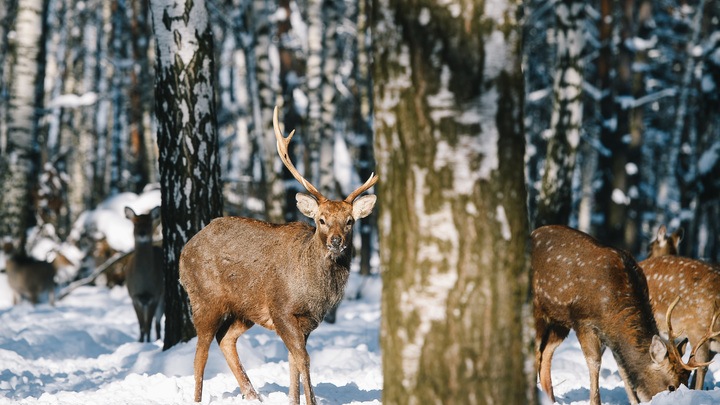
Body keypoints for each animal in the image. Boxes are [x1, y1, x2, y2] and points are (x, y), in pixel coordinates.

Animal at [124, 205, 164, 340]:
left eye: (149, 222)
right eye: (135, 223)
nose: (142, 233)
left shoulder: (155, 295)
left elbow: (148, 325)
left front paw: (147, 342)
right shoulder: (134, 296)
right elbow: (142, 326)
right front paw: (141, 342)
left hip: (163, 300)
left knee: (157, 323)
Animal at [179, 105, 376, 404]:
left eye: (350, 221)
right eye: (321, 219)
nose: (336, 241)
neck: (313, 290)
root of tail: (185, 248)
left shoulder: (306, 321)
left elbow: (294, 361)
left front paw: (294, 400)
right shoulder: (281, 308)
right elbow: (303, 359)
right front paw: (310, 400)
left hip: (244, 309)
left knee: (225, 339)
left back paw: (252, 395)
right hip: (204, 298)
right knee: (200, 353)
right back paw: (199, 399)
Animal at [532, 224, 712, 404]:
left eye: (687, 382)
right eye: (671, 387)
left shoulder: (611, 336)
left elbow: (623, 369)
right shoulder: (583, 321)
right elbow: (594, 362)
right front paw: (595, 401)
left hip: (558, 321)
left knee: (546, 354)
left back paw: (551, 399)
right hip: (537, 309)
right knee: (535, 351)